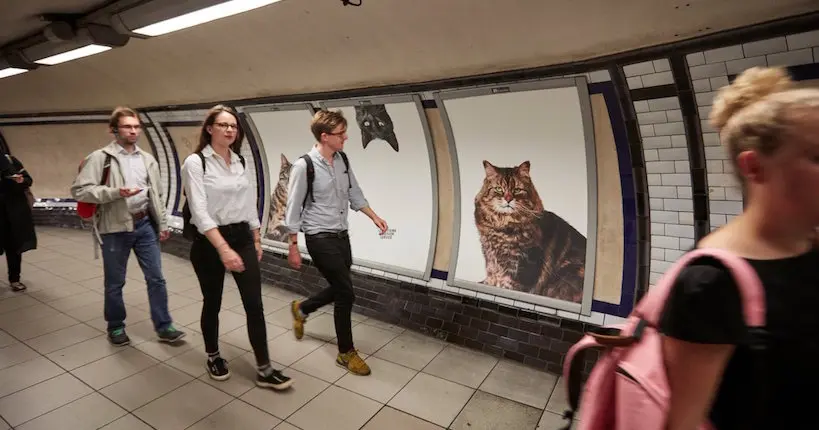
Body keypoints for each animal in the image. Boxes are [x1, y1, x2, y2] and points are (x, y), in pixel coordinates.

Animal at [478, 159, 588, 302]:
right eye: (498, 189)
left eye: (517, 190)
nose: (508, 199)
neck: (502, 226)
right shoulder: (490, 256)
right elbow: (492, 275)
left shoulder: (523, 263)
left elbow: (510, 285)